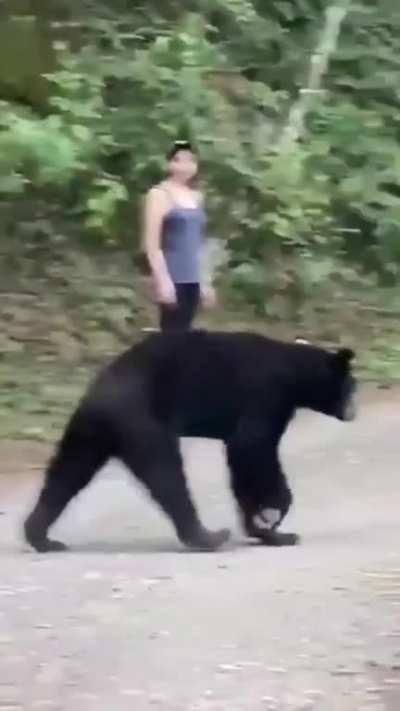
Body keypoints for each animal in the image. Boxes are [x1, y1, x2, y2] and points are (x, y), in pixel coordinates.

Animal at [24, 330, 357, 553]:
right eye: (352, 387)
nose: (355, 410)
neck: (295, 372)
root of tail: (97, 395)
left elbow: (247, 456)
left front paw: (272, 532)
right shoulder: (266, 395)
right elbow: (251, 447)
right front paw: (271, 516)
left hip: (91, 433)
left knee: (67, 473)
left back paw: (40, 536)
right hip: (141, 421)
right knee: (166, 473)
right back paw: (206, 536)